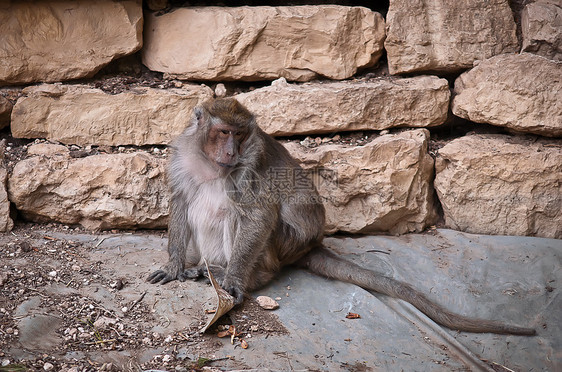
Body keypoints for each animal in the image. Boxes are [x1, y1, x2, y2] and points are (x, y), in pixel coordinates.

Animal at [147, 97, 536, 336]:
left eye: (240, 136)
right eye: (224, 132)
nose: (231, 151)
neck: (213, 164)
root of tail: (307, 247)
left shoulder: (250, 164)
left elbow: (259, 212)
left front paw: (235, 282)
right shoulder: (183, 156)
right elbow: (181, 200)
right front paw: (174, 265)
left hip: (280, 246)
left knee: (240, 214)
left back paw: (244, 275)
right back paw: (204, 268)